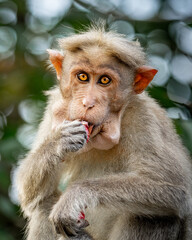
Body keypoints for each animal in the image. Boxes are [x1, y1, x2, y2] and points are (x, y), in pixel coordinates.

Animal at [15, 26, 192, 240]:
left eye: (104, 80)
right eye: (82, 77)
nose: (88, 103)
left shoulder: (145, 120)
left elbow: (177, 191)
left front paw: (77, 194)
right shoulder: (55, 108)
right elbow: (28, 192)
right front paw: (59, 141)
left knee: (158, 216)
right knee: (44, 202)